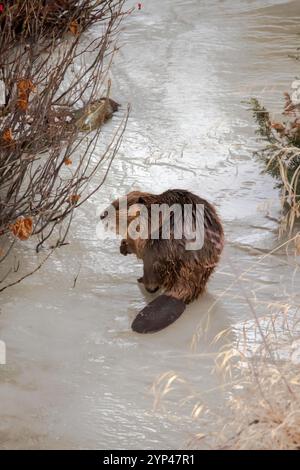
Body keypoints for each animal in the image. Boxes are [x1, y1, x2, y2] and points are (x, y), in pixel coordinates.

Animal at [101, 189, 223, 332]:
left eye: (118, 206)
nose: (102, 215)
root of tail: (178, 295)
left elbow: (137, 244)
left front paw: (124, 246)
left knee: (152, 280)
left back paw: (142, 281)